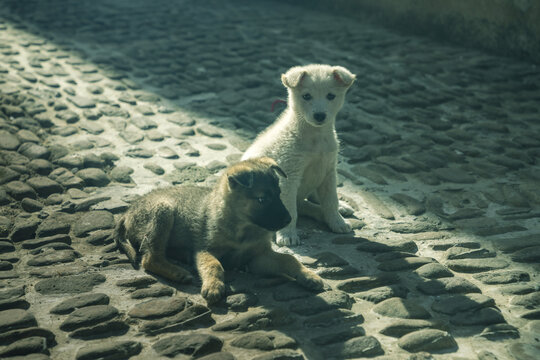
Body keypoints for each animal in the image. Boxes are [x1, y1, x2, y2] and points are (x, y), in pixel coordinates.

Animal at [115, 157, 322, 304]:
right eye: (262, 199)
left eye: (279, 194)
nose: (289, 220)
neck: (243, 228)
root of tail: (127, 212)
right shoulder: (204, 250)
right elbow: (214, 265)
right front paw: (214, 286)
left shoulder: (256, 259)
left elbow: (289, 259)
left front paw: (309, 276)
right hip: (162, 211)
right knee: (150, 258)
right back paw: (178, 272)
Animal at [244, 63, 354, 246]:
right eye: (306, 96)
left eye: (331, 96)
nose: (319, 116)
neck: (315, 138)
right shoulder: (289, 176)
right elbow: (291, 210)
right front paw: (287, 235)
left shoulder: (328, 171)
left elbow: (331, 200)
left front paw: (337, 222)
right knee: (302, 206)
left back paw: (342, 208)